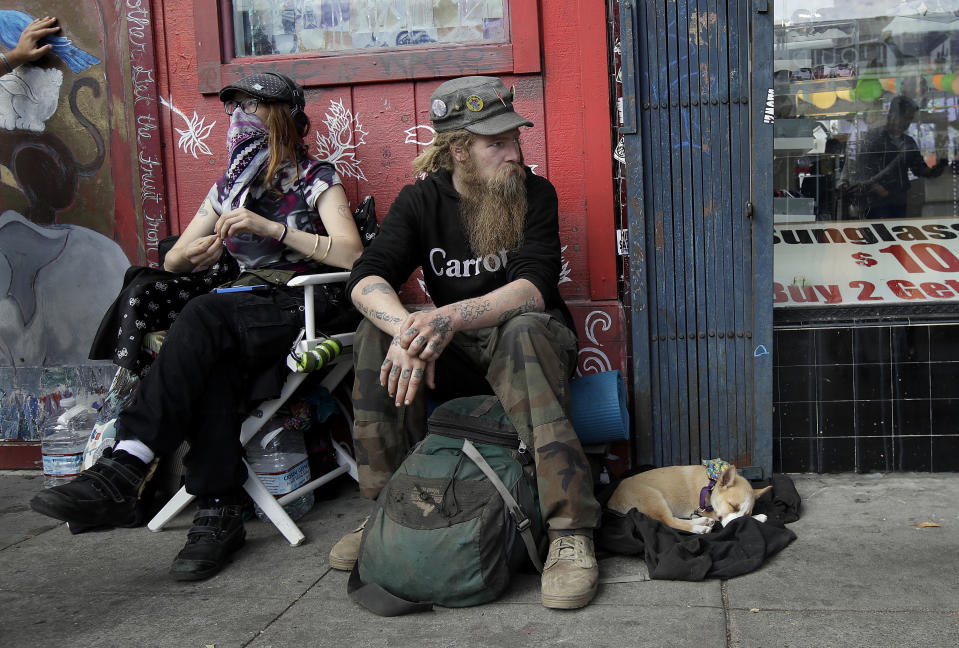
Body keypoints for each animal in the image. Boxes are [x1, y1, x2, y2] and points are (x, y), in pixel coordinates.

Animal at [608, 458, 772, 536]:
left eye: (746, 513)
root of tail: (611, 502)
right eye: (732, 506)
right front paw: (759, 517)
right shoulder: (709, 510)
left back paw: (703, 522)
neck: (711, 484)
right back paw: (700, 528)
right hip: (654, 498)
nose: (737, 525)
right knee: (669, 522)